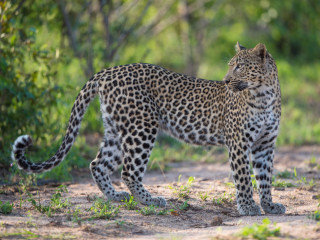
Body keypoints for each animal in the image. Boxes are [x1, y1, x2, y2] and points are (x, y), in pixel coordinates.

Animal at [12, 42, 284, 216]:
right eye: (231, 65)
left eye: (240, 66)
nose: (226, 81)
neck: (264, 95)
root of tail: (108, 71)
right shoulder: (239, 142)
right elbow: (244, 178)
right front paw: (248, 208)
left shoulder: (265, 144)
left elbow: (265, 177)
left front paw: (269, 206)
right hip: (142, 128)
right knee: (129, 171)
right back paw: (149, 200)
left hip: (116, 129)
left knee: (97, 163)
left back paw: (116, 197)